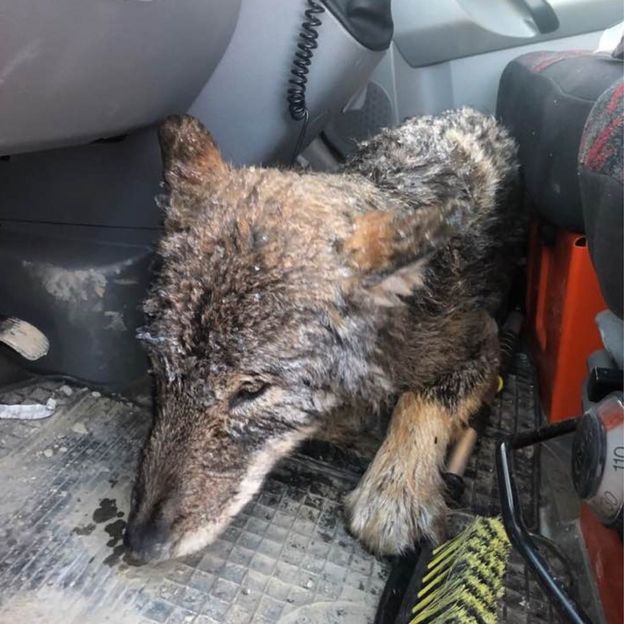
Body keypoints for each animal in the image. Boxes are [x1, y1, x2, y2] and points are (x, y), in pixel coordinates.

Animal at [124, 109, 520, 564]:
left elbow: (424, 399)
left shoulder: (484, 340)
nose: (138, 544)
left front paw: (395, 491)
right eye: (158, 369)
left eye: (252, 390)